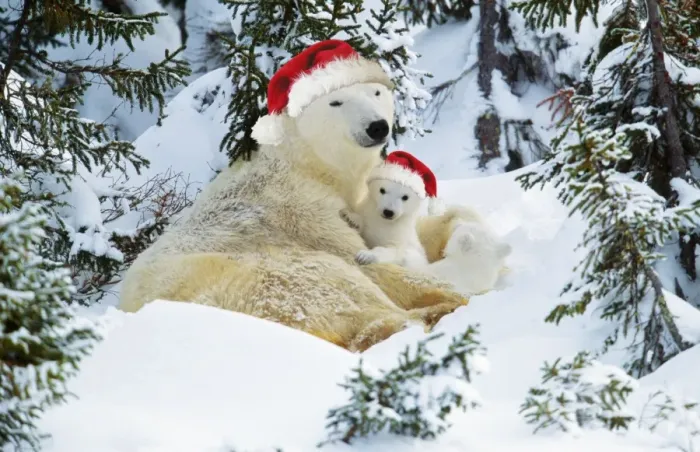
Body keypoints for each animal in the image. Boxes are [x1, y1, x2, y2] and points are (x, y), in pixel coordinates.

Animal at [119, 40, 475, 352]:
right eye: (336, 102)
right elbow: (367, 261)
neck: (309, 165)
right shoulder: (303, 211)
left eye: (375, 92)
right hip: (257, 278)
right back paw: (430, 312)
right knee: (333, 286)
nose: (377, 127)